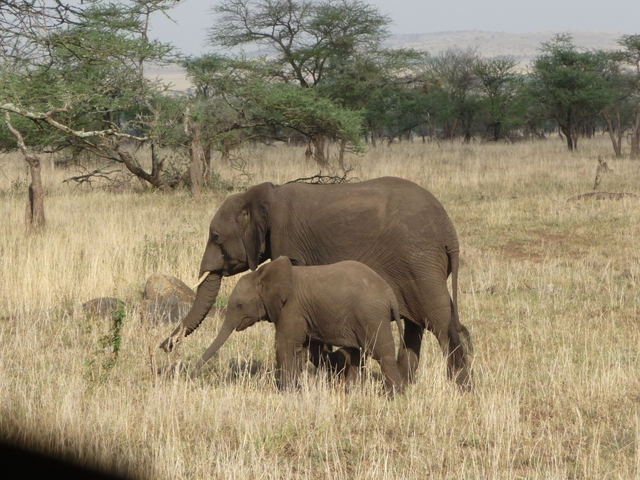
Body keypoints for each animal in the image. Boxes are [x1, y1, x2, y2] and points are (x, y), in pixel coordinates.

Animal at [191, 256, 405, 395]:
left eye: (239, 305)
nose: (192, 376)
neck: (265, 273)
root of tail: (390, 295)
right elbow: (301, 350)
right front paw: (296, 391)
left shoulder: (291, 309)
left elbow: (284, 346)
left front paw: (285, 393)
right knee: (355, 354)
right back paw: (350, 393)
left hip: (371, 315)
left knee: (382, 354)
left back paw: (394, 395)